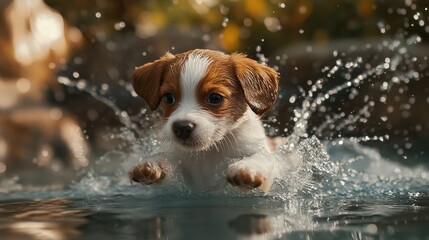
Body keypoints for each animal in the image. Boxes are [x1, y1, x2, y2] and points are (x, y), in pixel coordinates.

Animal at [129, 48, 280, 191]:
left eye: (215, 98)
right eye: (168, 97)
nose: (182, 127)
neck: (208, 152)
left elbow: (262, 157)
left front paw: (248, 166)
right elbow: (167, 157)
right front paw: (152, 163)